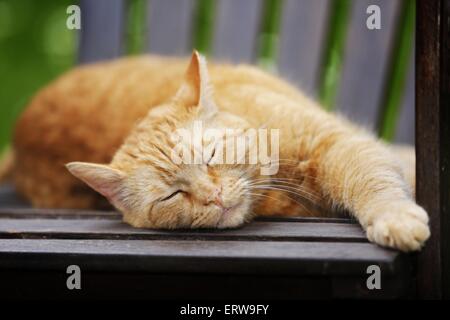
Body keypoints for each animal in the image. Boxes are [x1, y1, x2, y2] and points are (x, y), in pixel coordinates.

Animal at [6, 50, 428, 251]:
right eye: (172, 194)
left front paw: (394, 217)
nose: (214, 195)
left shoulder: (341, 142)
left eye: (209, 155)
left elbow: (374, 181)